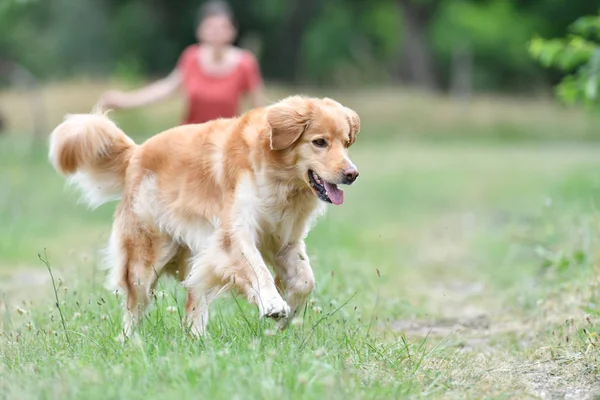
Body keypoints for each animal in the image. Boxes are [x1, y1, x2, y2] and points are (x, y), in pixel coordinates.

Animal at [48, 96, 360, 338]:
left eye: (346, 143)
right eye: (319, 142)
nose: (352, 174)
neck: (280, 179)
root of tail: (135, 154)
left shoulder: (285, 240)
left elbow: (305, 281)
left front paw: (286, 318)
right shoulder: (234, 233)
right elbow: (258, 268)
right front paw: (273, 304)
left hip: (196, 254)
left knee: (193, 298)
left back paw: (196, 339)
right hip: (143, 261)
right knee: (134, 307)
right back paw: (129, 342)